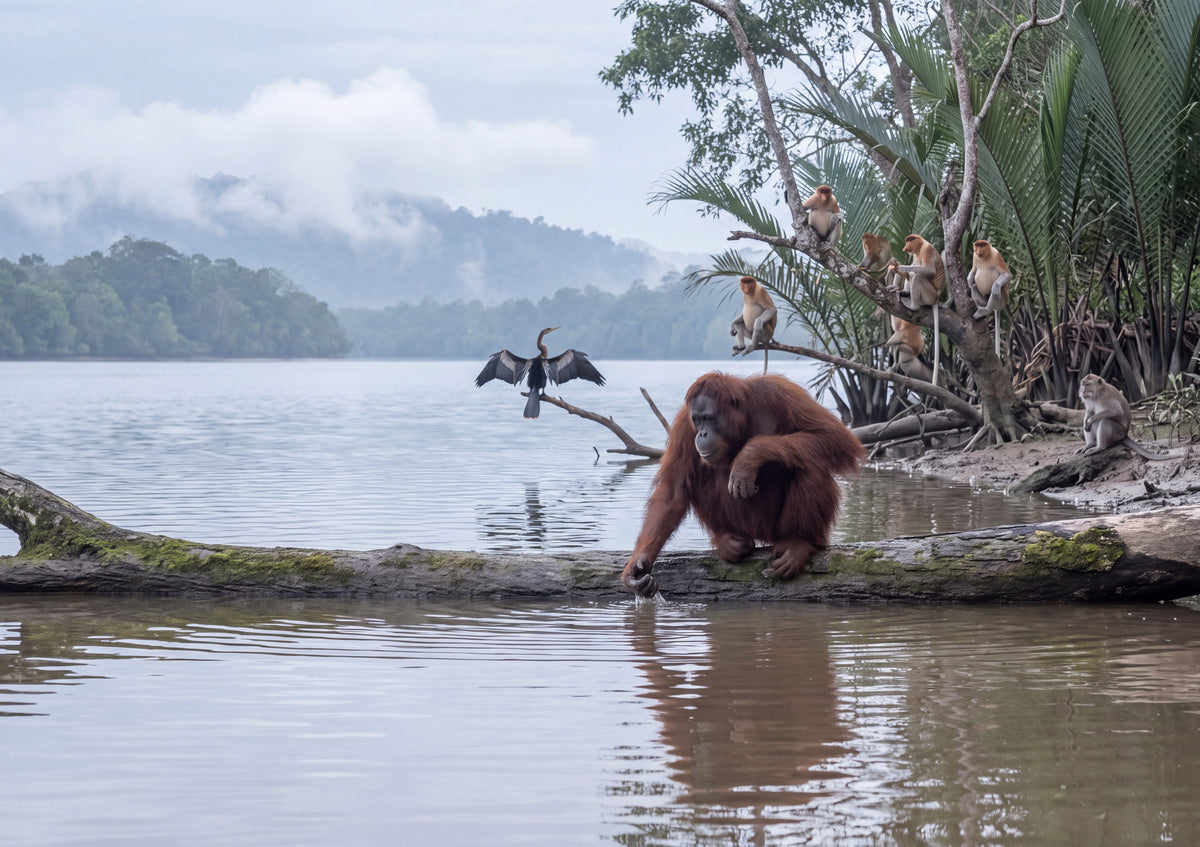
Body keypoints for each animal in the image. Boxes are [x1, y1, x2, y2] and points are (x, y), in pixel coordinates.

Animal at [889, 234, 946, 384]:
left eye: (908, 241)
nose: (904, 248)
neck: (919, 248)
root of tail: (937, 297)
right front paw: (895, 267)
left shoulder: (927, 250)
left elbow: (928, 270)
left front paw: (900, 266)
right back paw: (901, 291)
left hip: (928, 295)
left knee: (918, 276)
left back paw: (912, 304)